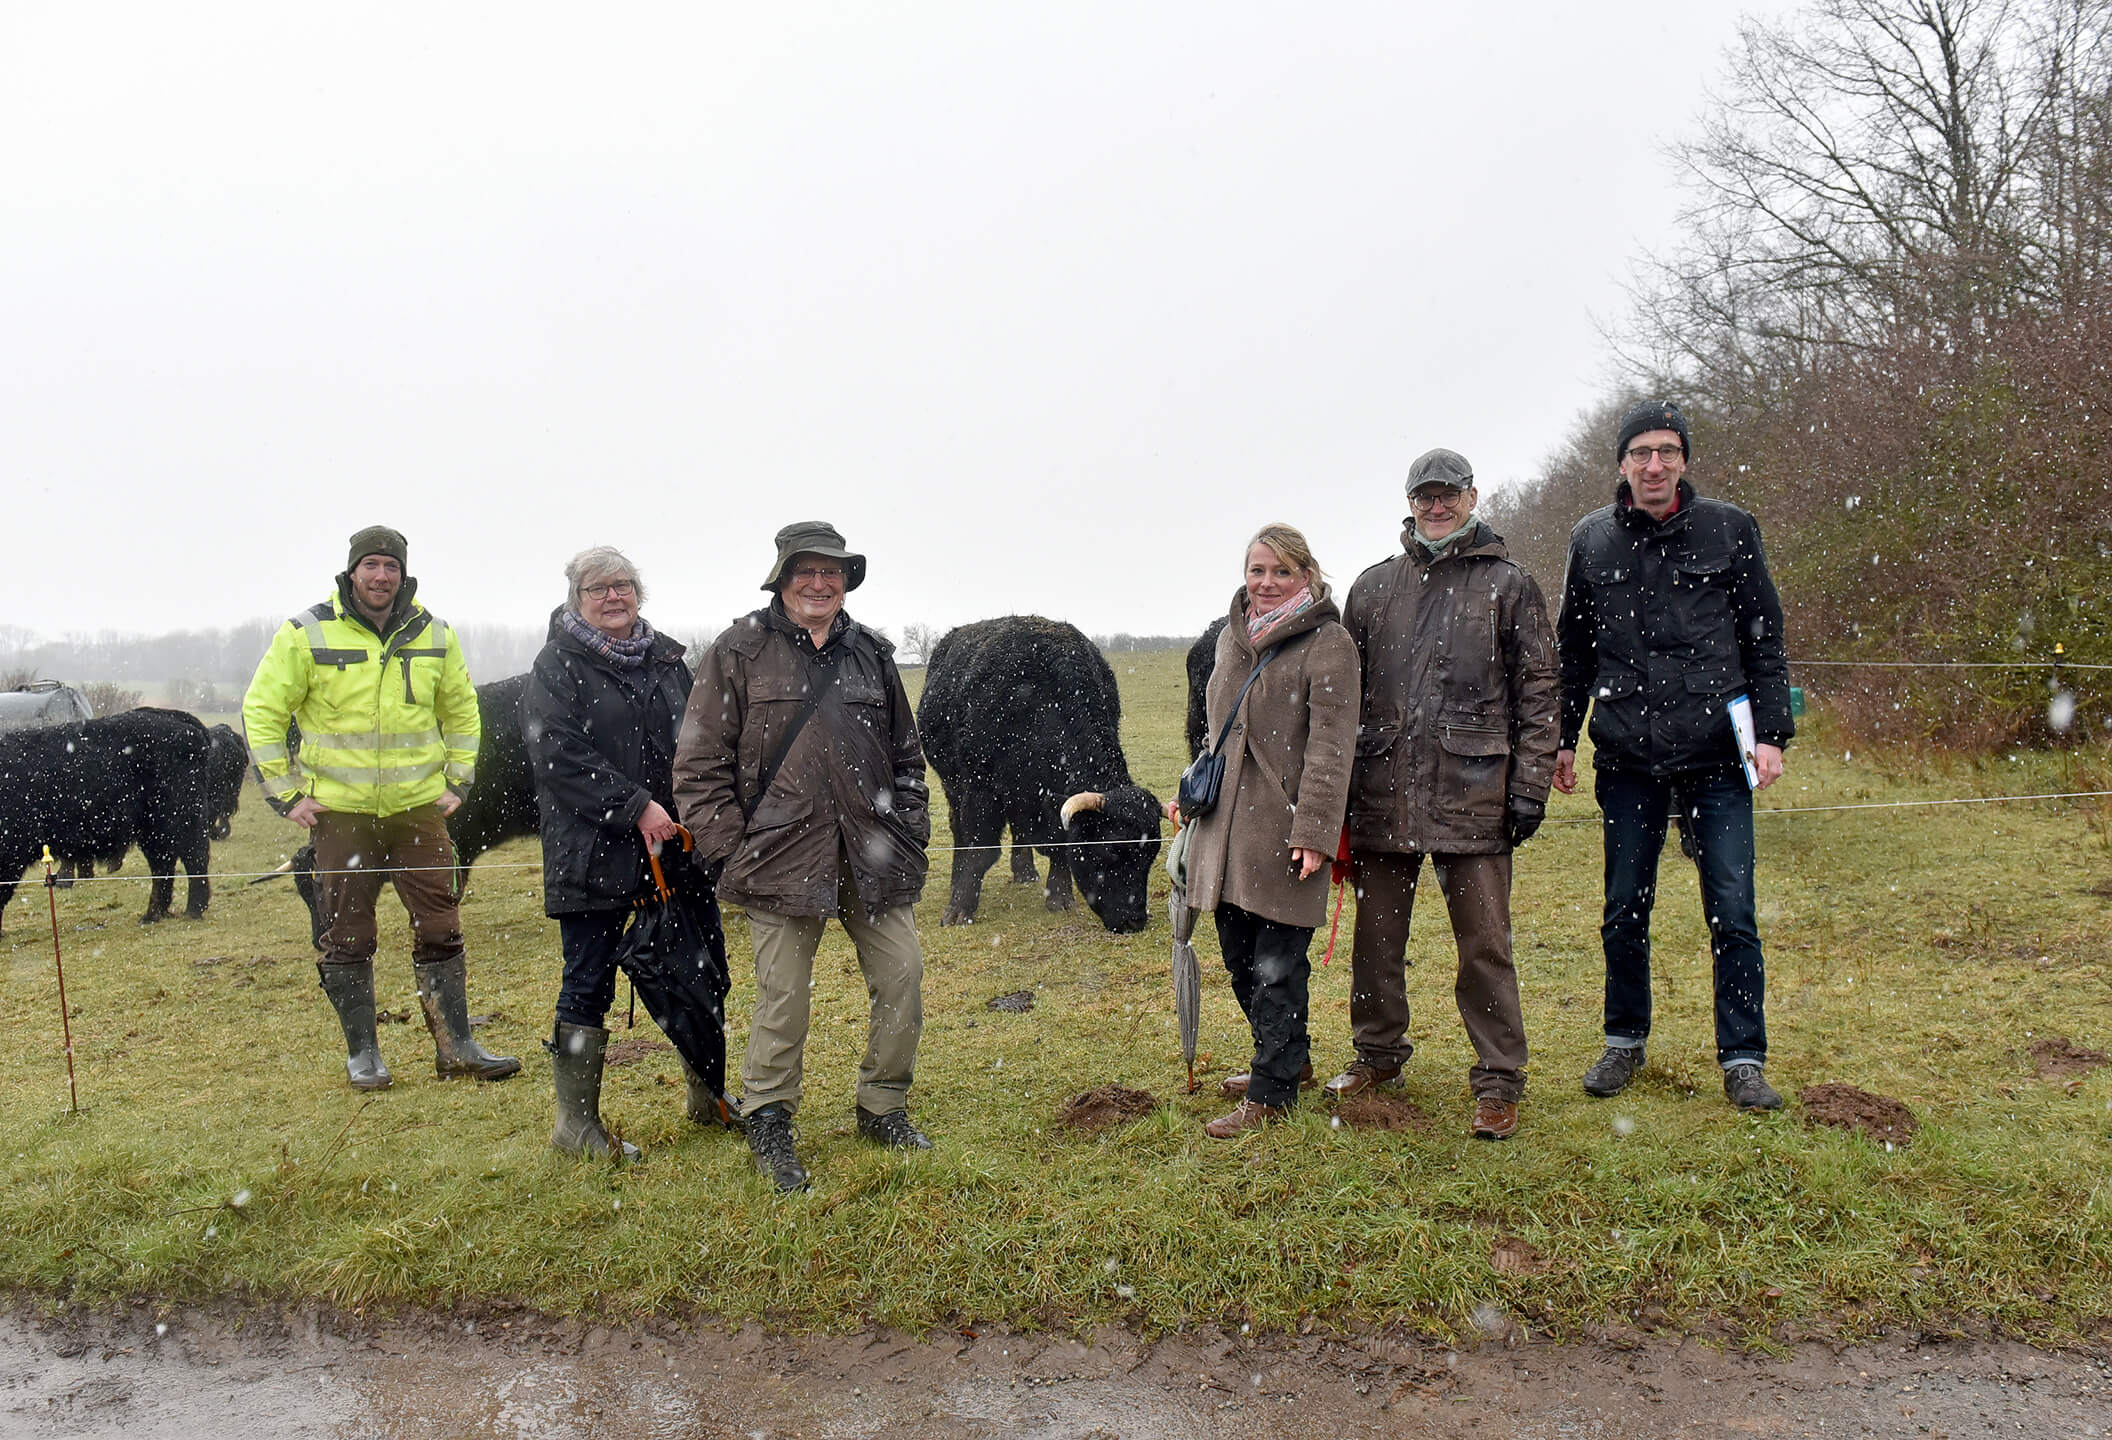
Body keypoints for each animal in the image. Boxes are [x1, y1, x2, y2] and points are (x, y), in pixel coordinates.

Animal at [0, 708, 219, 929]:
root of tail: (175, 718)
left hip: (179, 819)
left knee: (193, 858)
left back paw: (192, 910)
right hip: (153, 830)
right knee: (163, 865)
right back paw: (153, 915)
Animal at [918, 616, 1162, 933]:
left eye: (1151, 855)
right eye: (1110, 850)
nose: (1135, 920)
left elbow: (1058, 842)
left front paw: (1059, 896)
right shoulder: (979, 789)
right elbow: (979, 848)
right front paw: (959, 908)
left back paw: (1024, 870)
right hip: (953, 785)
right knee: (959, 828)